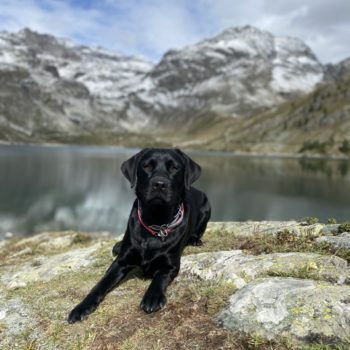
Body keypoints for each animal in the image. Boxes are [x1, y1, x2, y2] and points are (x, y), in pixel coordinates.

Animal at [67, 148, 211, 322]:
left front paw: (152, 297)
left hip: (206, 207)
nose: (159, 184)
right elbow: (100, 284)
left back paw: (195, 239)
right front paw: (82, 306)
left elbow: (159, 278)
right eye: (147, 166)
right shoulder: (120, 262)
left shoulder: (170, 265)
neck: (156, 221)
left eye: (174, 167)